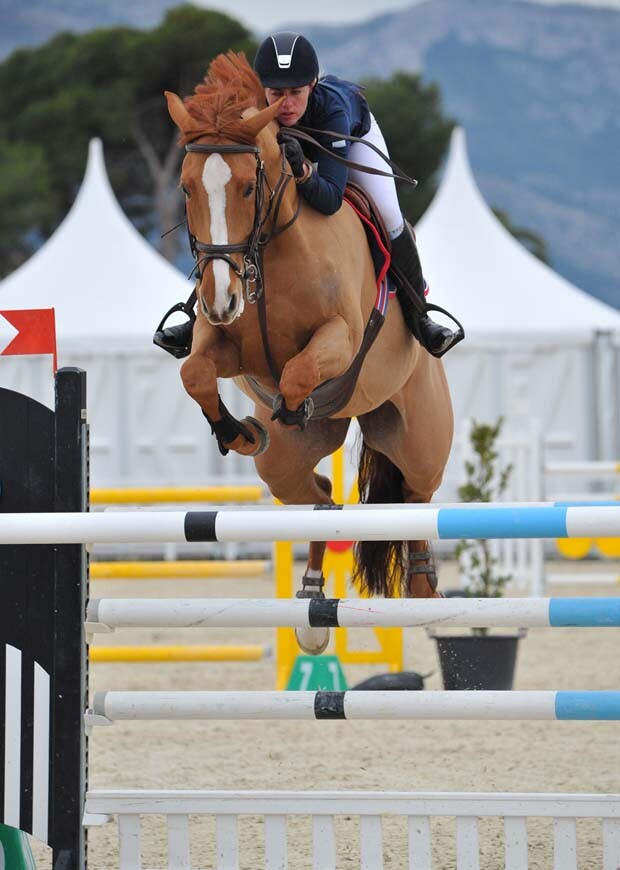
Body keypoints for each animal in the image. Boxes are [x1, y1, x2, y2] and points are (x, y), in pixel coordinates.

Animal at [167, 52, 452, 656]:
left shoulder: (340, 339)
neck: (269, 251)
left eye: (247, 188)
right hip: (282, 469)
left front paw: (293, 406)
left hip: (418, 438)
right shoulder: (223, 344)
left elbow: (300, 370)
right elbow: (196, 372)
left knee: (416, 496)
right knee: (319, 497)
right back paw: (312, 602)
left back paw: (423, 586)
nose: (220, 298)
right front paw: (239, 431)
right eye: (186, 189)